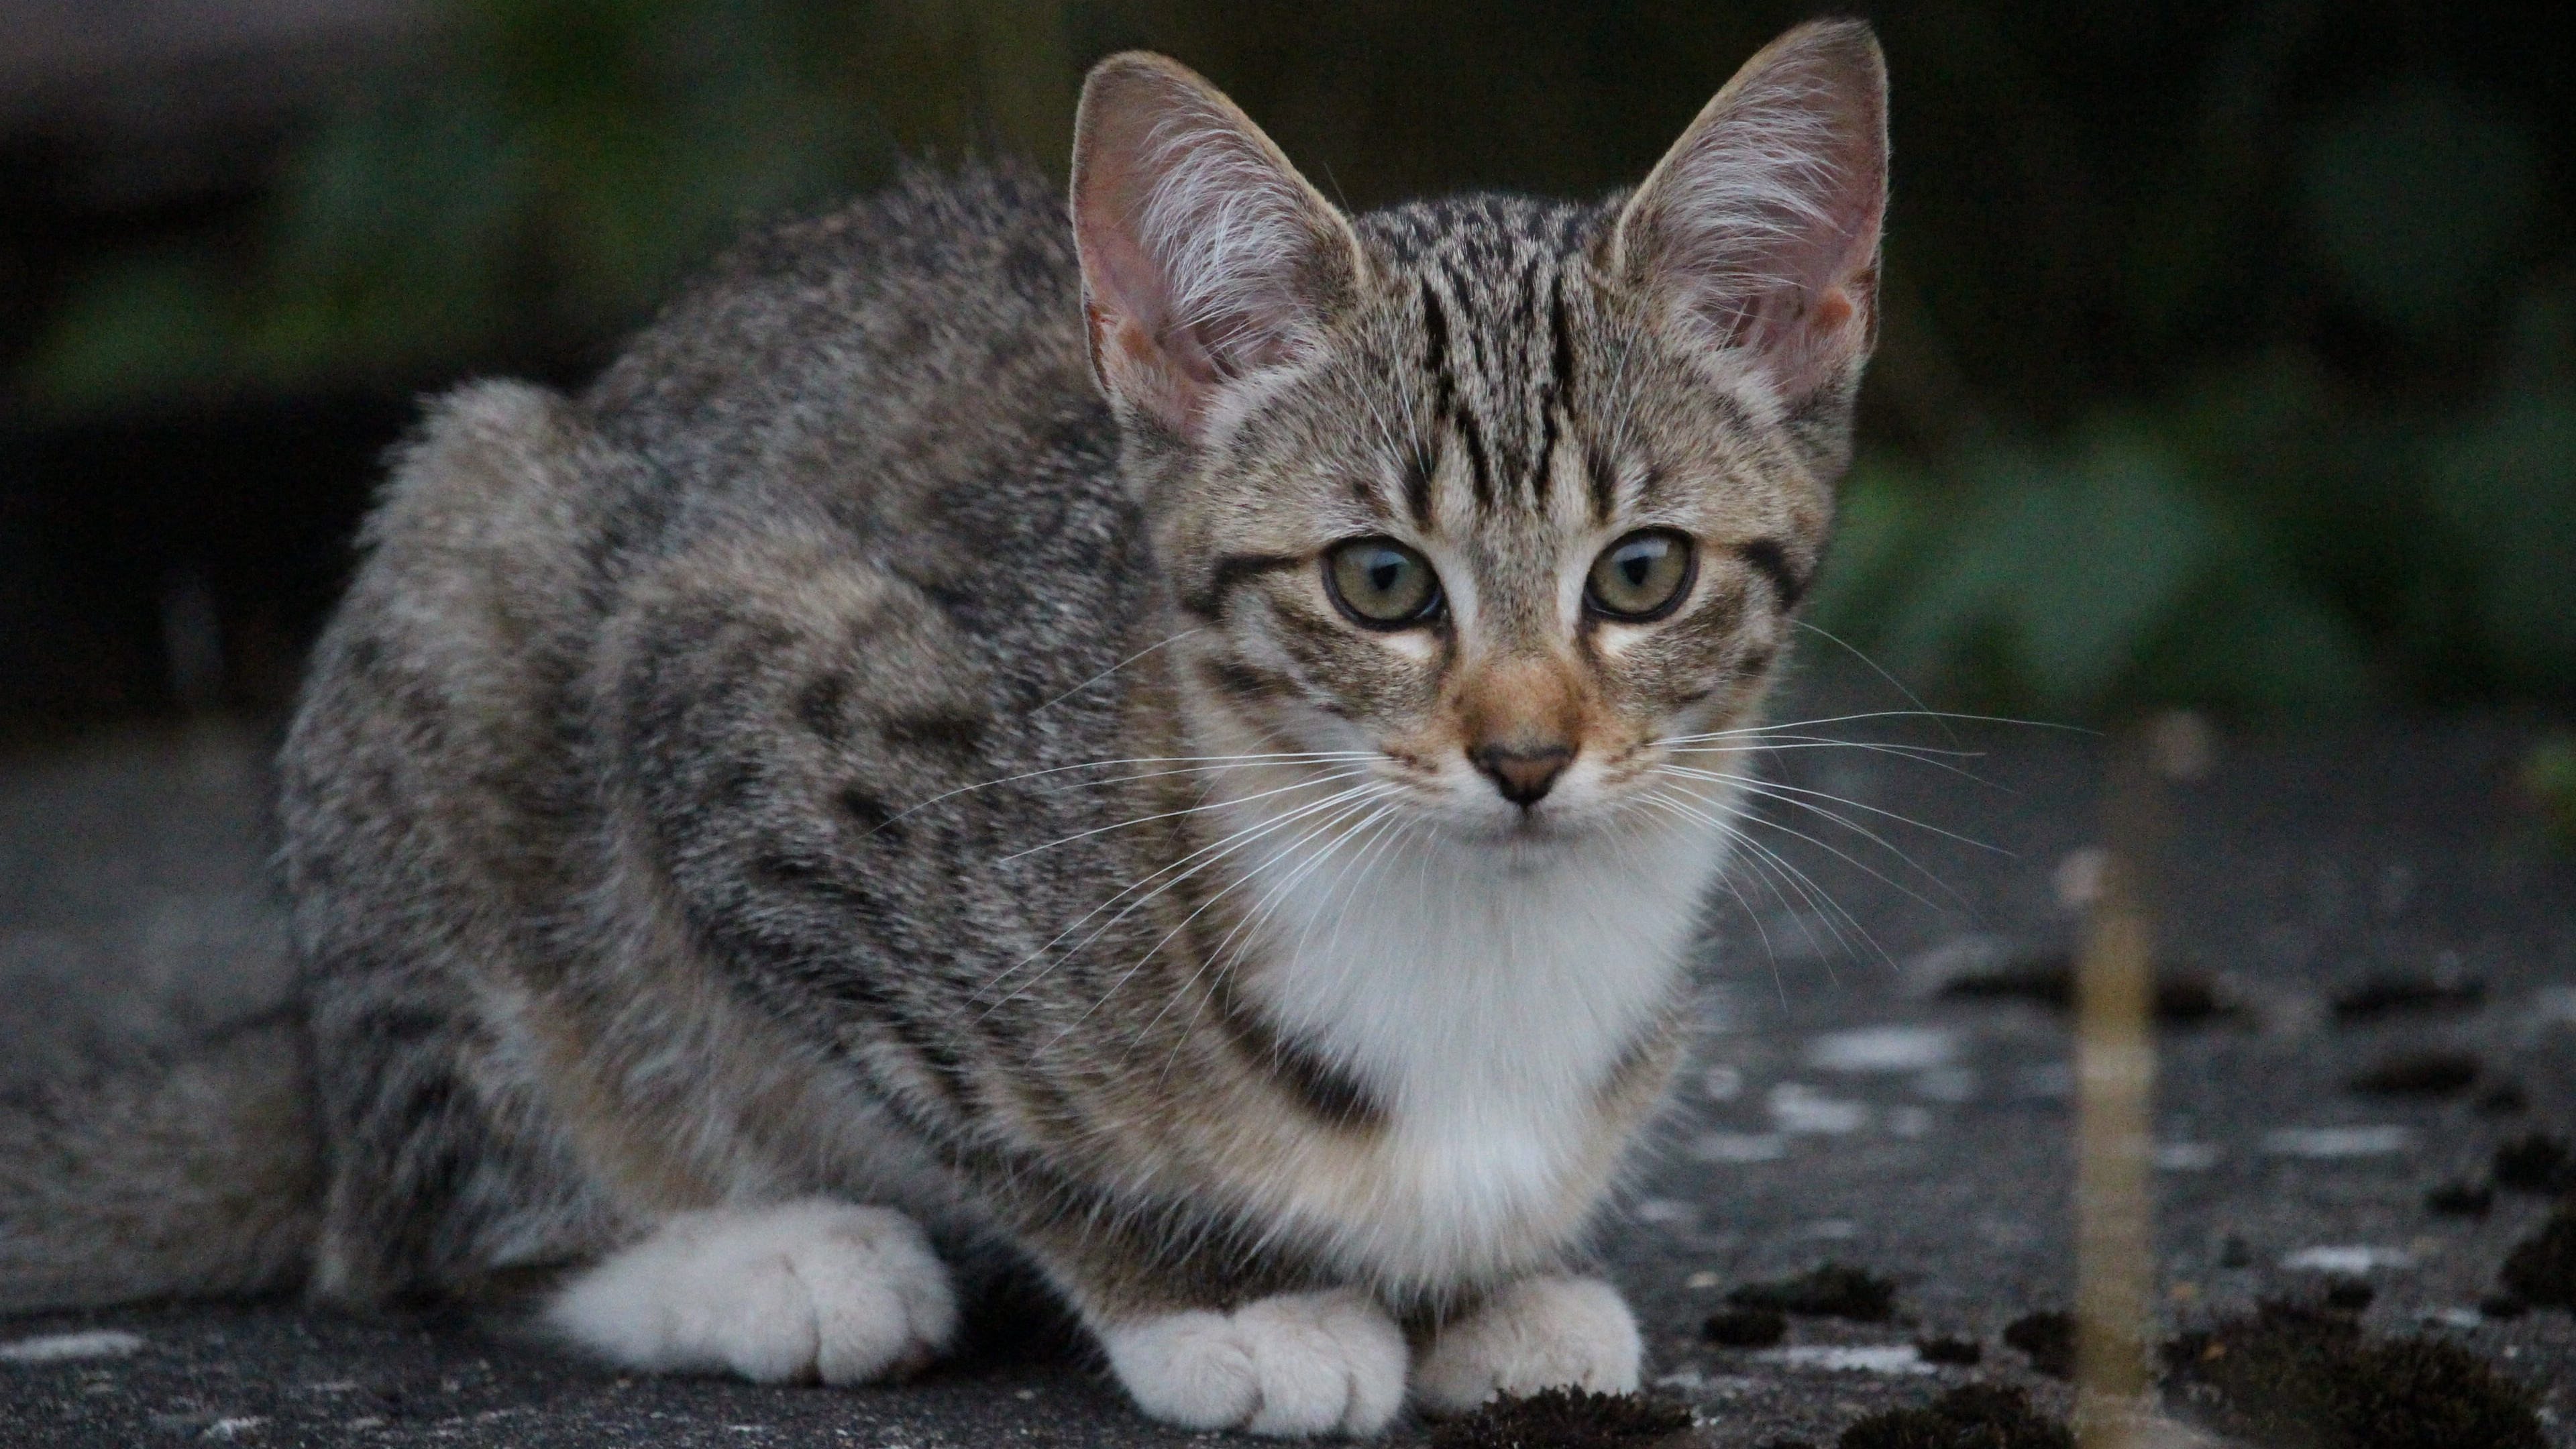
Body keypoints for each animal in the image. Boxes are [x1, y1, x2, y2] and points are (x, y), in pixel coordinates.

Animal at [0, 19, 1896, 1433]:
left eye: (1641, 573)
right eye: (1378, 583)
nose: (1523, 757)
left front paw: (1490, 1286)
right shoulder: (738, 689)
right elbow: (978, 1109)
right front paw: (1222, 1298)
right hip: (467, 561)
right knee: (418, 1228)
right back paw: (765, 1262)